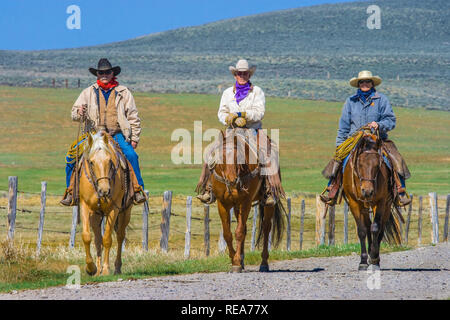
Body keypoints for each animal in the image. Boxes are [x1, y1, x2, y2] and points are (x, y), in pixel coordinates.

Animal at [78, 131, 132, 276]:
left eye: (110, 162)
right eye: (91, 162)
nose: (104, 190)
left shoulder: (114, 209)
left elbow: (107, 239)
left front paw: (106, 269)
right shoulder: (84, 206)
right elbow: (87, 236)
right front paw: (91, 268)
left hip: (125, 212)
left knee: (120, 236)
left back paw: (117, 268)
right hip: (96, 215)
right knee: (97, 239)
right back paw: (97, 270)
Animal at [210, 128, 284, 272]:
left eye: (237, 156)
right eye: (221, 157)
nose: (232, 181)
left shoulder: (246, 202)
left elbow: (239, 232)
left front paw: (236, 263)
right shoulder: (223, 204)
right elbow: (228, 234)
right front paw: (235, 259)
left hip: (268, 204)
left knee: (266, 228)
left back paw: (264, 263)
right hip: (236, 206)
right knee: (244, 228)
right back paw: (242, 260)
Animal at [342, 127, 402, 270]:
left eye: (377, 164)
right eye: (360, 163)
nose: (367, 191)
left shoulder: (380, 202)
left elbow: (375, 228)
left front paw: (374, 257)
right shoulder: (354, 202)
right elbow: (362, 230)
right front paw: (363, 261)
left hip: (386, 205)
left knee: (380, 229)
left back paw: (375, 258)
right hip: (364, 206)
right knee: (367, 226)